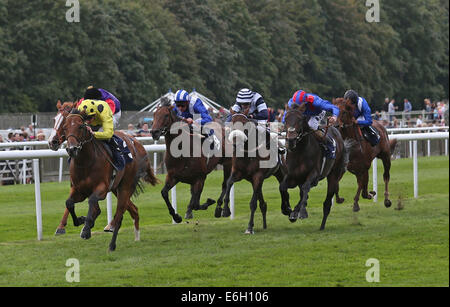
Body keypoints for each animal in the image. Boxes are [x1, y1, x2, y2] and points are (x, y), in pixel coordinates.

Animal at [59, 110, 158, 253]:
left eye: (81, 126)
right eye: (65, 128)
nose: (72, 149)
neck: (85, 162)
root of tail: (136, 143)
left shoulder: (102, 188)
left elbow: (92, 201)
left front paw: (86, 230)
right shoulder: (79, 190)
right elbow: (69, 203)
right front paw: (82, 220)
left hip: (125, 187)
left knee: (119, 215)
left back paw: (112, 244)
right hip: (116, 189)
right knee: (133, 210)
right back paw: (135, 236)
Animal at [278, 103, 352, 231]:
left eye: (300, 119)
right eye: (286, 119)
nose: (291, 140)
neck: (300, 152)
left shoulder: (314, 174)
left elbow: (306, 187)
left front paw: (302, 212)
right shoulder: (292, 175)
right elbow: (282, 187)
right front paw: (286, 209)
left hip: (334, 175)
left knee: (327, 203)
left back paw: (321, 225)